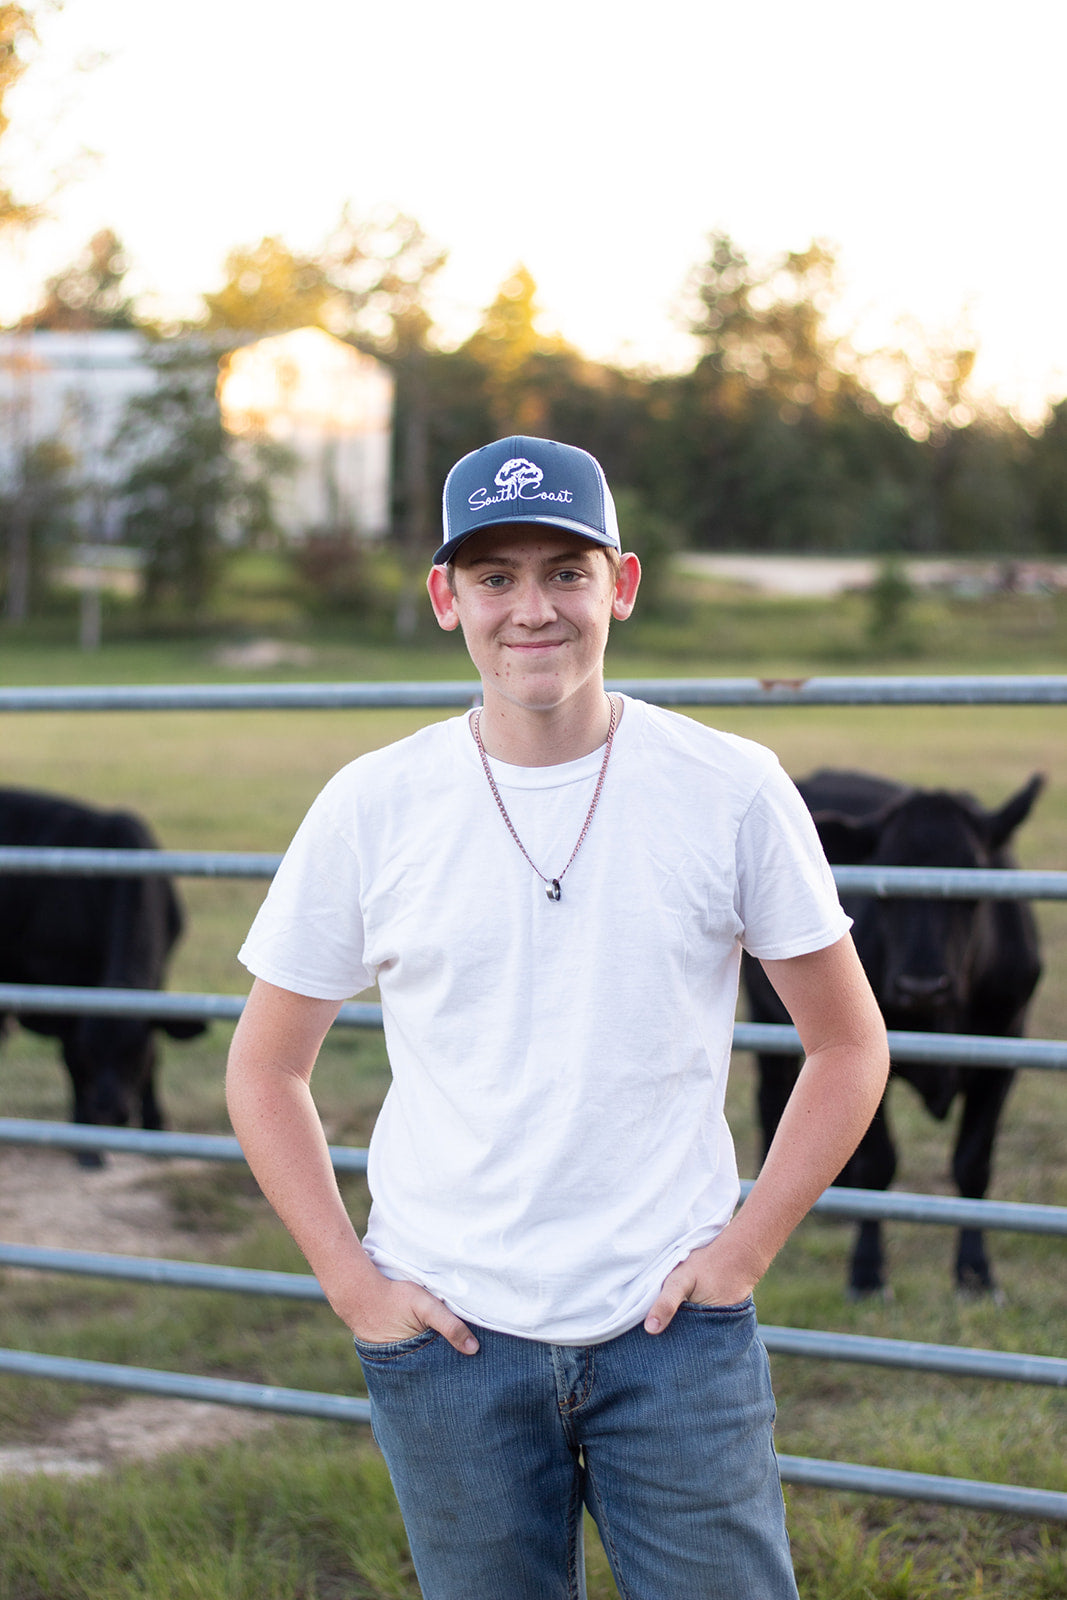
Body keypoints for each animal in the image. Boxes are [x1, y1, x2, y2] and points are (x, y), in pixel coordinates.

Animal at [0, 787, 206, 1152]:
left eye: (135, 1053)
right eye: (89, 1052)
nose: (110, 1113)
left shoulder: (160, 975)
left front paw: (156, 1124)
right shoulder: (64, 981)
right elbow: (68, 1059)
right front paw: (86, 1140)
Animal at [742, 764, 1043, 1299]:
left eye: (973, 878)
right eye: (887, 884)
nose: (921, 985)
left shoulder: (1004, 1050)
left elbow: (973, 1164)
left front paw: (975, 1273)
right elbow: (878, 1164)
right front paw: (866, 1271)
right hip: (763, 1014)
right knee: (772, 1096)